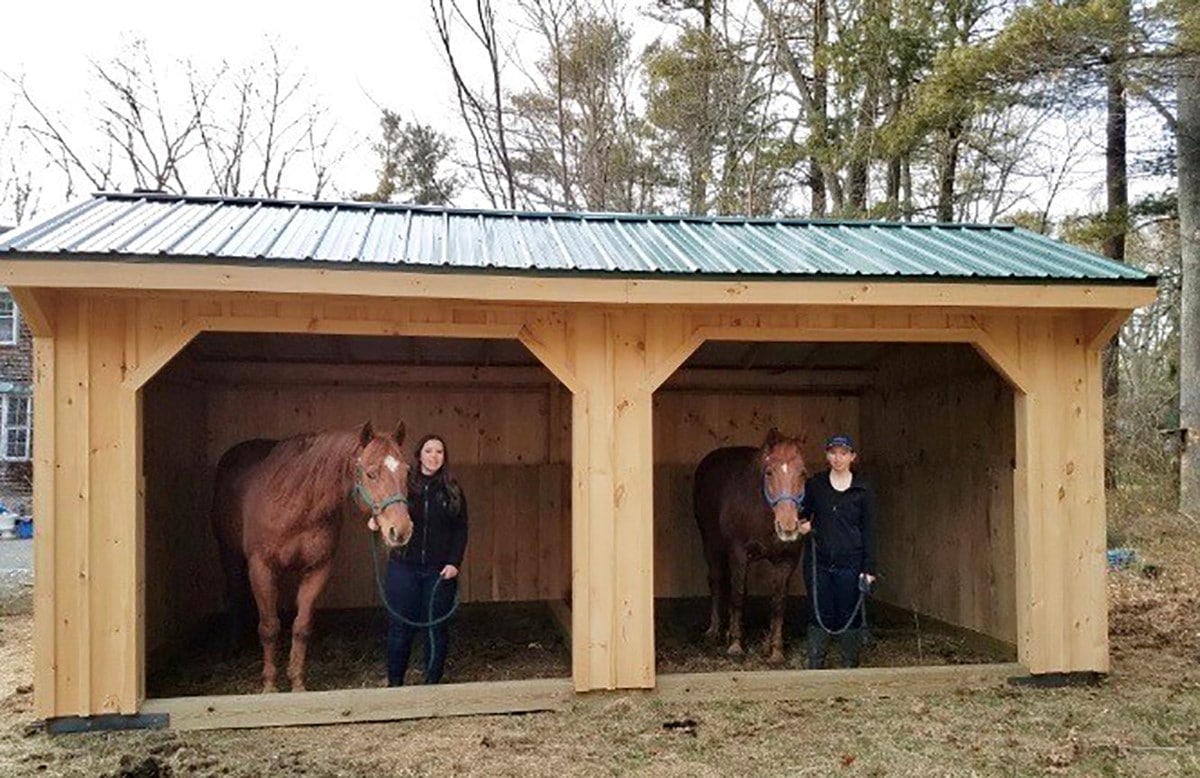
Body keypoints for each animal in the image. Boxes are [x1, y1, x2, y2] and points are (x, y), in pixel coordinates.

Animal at [216, 422, 417, 691]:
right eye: (371, 473)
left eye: (406, 472)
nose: (401, 530)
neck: (296, 503)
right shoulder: (262, 567)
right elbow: (269, 627)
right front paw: (269, 685)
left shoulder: (318, 569)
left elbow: (301, 627)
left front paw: (297, 683)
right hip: (230, 556)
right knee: (235, 596)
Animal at [691, 427, 811, 667]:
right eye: (769, 473)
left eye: (802, 473)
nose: (788, 527)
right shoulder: (738, 554)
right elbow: (738, 594)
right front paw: (736, 646)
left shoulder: (787, 560)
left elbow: (778, 602)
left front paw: (776, 651)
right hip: (711, 544)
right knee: (716, 581)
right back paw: (715, 630)